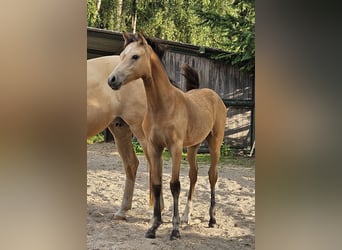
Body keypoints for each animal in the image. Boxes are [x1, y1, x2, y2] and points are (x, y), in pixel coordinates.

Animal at [108, 32, 227, 239]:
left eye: (135, 56)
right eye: (122, 55)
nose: (112, 80)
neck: (163, 106)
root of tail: (214, 95)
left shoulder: (175, 148)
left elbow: (174, 185)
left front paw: (175, 230)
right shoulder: (154, 147)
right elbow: (157, 184)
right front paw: (153, 227)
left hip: (214, 144)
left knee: (212, 176)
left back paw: (211, 220)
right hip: (193, 146)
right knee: (194, 174)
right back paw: (187, 217)